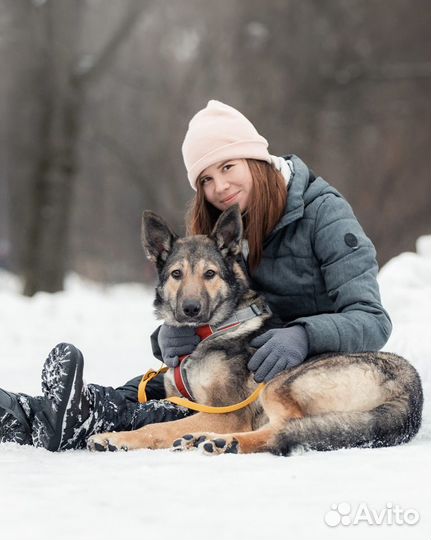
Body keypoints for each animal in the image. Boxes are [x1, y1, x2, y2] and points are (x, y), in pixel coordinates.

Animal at [86, 205, 424, 454]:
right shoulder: (183, 400)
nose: (191, 309)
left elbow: (157, 427)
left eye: (210, 274)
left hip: (281, 382)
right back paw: (200, 438)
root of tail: (411, 392)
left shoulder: (228, 413)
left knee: (281, 430)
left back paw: (225, 442)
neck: (209, 332)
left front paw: (115, 437)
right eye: (176, 274)